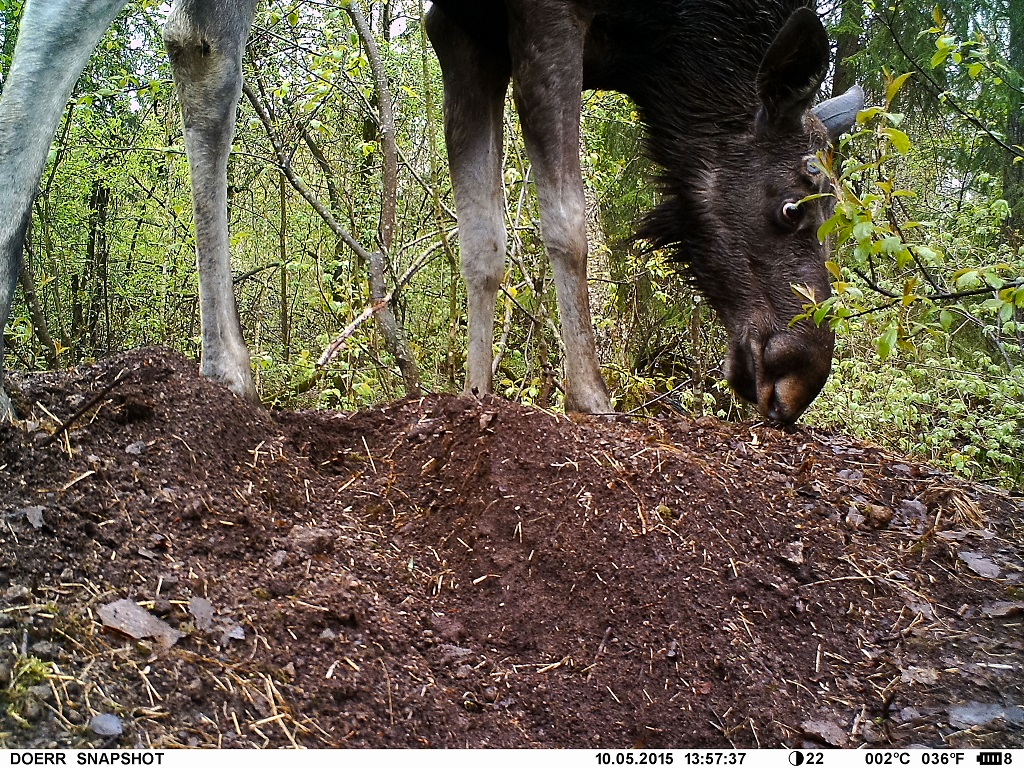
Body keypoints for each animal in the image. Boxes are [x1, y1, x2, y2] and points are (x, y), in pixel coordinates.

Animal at [425, 0, 864, 423]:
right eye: (790, 209)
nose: (799, 381)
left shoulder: (462, 32)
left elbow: (481, 246)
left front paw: (475, 392)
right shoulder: (540, 15)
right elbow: (567, 228)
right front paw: (589, 396)